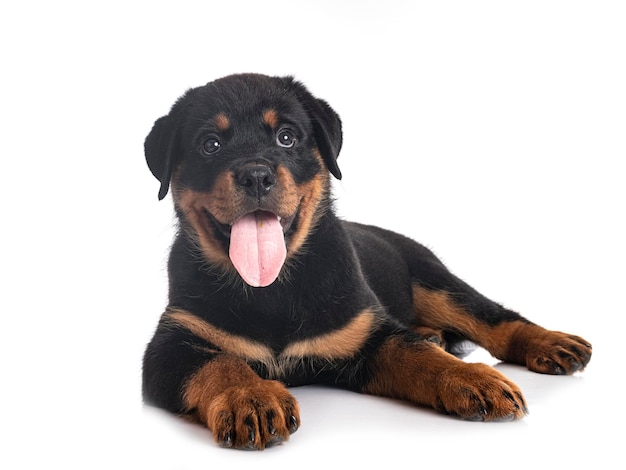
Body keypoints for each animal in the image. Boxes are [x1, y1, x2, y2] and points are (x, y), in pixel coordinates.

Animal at [141, 72, 588, 448]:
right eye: (210, 145)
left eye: (286, 137)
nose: (256, 175)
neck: (273, 289)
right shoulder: (170, 345)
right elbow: (219, 363)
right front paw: (249, 397)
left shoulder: (368, 332)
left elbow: (415, 353)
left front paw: (471, 377)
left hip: (434, 279)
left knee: (492, 317)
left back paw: (552, 343)